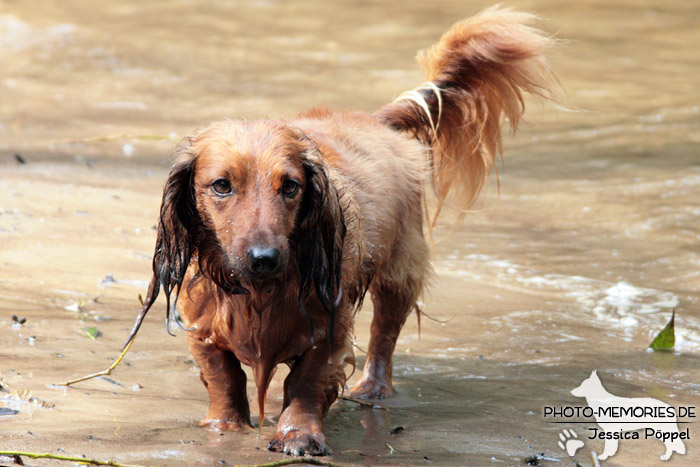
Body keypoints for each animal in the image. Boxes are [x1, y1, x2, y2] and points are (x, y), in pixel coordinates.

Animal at [127, 6, 556, 458]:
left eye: (291, 186)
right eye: (222, 185)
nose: (264, 260)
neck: (260, 294)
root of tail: (375, 120)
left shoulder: (329, 326)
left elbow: (305, 383)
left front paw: (298, 434)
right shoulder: (204, 328)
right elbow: (224, 377)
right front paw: (223, 427)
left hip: (400, 273)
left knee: (384, 334)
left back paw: (373, 389)